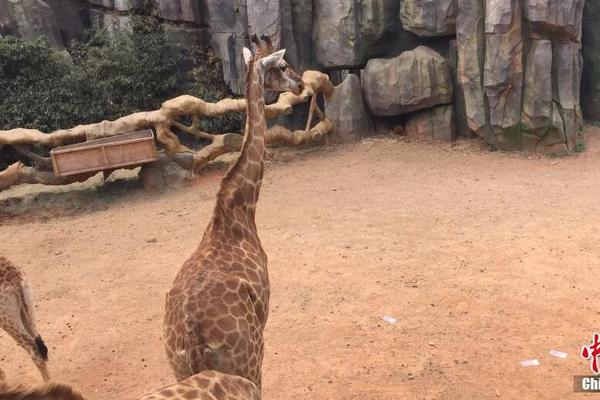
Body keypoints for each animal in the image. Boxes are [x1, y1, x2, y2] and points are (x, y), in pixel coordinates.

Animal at [163, 34, 304, 390]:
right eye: (283, 65)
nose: (300, 84)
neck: (238, 209)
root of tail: (192, 338)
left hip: (178, 367)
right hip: (250, 361)